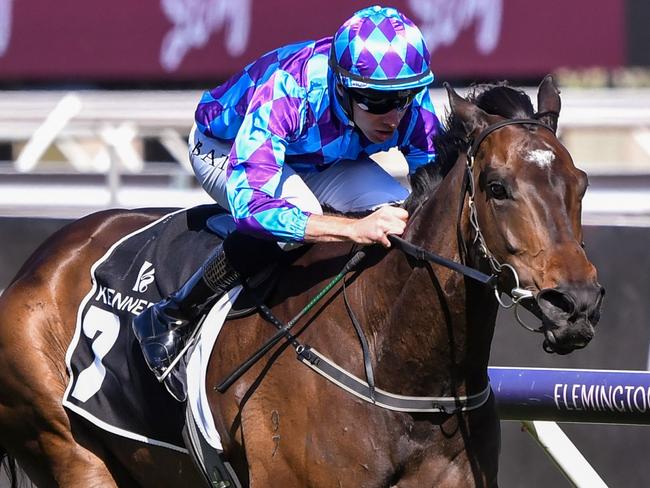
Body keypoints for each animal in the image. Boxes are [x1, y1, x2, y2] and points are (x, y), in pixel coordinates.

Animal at [0, 77, 604, 488]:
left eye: (581, 182)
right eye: (497, 187)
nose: (574, 303)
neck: (398, 361)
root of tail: (42, 261)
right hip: (70, 450)